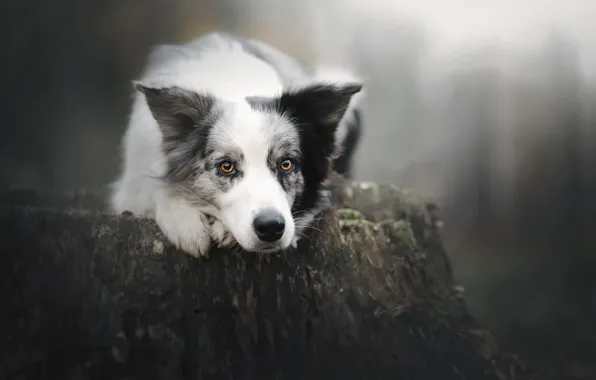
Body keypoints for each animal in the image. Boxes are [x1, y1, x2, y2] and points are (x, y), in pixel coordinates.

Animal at [109, 32, 366, 258]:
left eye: (286, 163)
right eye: (226, 166)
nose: (270, 228)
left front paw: (224, 230)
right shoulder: (130, 188)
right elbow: (155, 189)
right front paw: (185, 222)